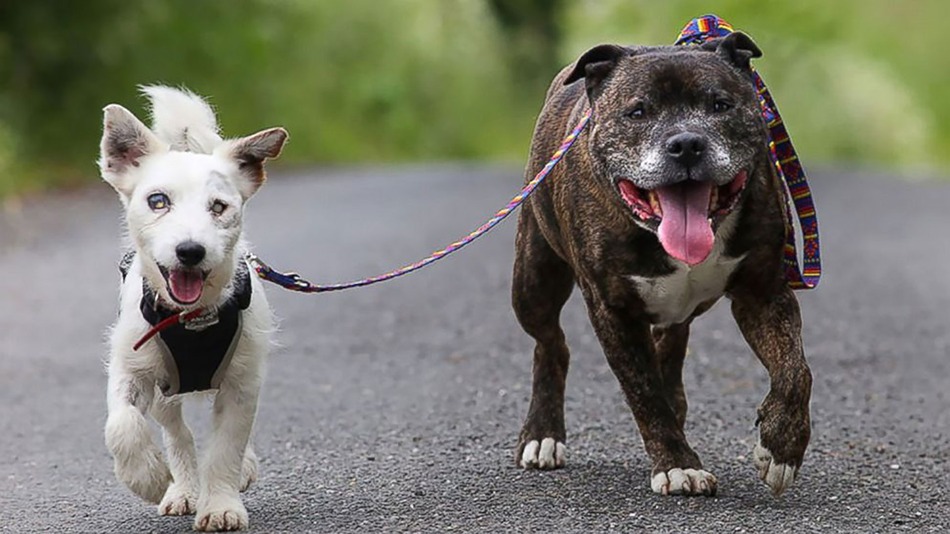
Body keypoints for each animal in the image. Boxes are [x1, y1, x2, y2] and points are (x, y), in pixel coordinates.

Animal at [100, 86, 288, 532]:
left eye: (218, 207)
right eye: (157, 201)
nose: (190, 250)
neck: (193, 319)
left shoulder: (242, 383)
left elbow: (226, 446)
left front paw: (221, 504)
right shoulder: (132, 368)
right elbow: (122, 425)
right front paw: (148, 477)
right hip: (165, 391)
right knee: (177, 434)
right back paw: (181, 488)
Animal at [512, 34, 812, 498]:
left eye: (720, 105)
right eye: (637, 112)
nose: (686, 143)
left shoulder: (763, 293)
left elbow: (795, 371)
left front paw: (781, 448)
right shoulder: (613, 311)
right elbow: (644, 393)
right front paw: (677, 465)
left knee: (669, 345)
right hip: (533, 282)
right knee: (551, 344)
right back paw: (542, 434)